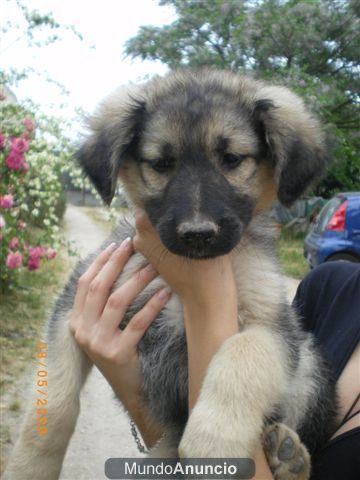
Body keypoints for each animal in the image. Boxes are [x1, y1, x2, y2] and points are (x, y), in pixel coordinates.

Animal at [4, 70, 338, 480]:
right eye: (161, 163)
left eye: (231, 159)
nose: (197, 234)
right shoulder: (74, 302)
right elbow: (55, 403)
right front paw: (28, 466)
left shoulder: (275, 325)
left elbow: (242, 353)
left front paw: (215, 440)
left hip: (310, 365)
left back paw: (287, 456)